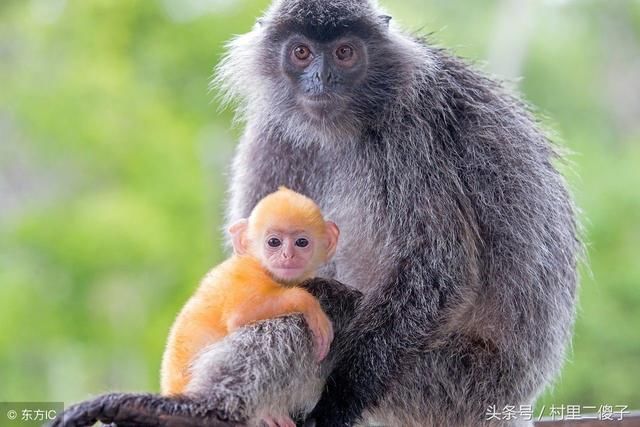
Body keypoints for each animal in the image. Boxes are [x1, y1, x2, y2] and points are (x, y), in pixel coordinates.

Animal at [160, 187, 340, 418]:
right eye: (273, 242)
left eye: (302, 242)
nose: (288, 255)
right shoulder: (248, 275)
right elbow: (241, 314)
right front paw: (310, 306)